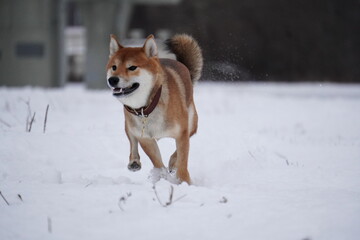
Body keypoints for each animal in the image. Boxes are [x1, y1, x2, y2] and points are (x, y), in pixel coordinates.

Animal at [106, 33, 202, 184]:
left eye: (132, 67)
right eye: (114, 67)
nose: (112, 80)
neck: (148, 107)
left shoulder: (182, 132)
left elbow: (182, 159)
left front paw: (184, 182)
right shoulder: (145, 138)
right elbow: (156, 160)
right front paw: (162, 177)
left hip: (192, 122)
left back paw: (172, 164)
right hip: (128, 124)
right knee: (132, 141)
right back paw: (134, 161)